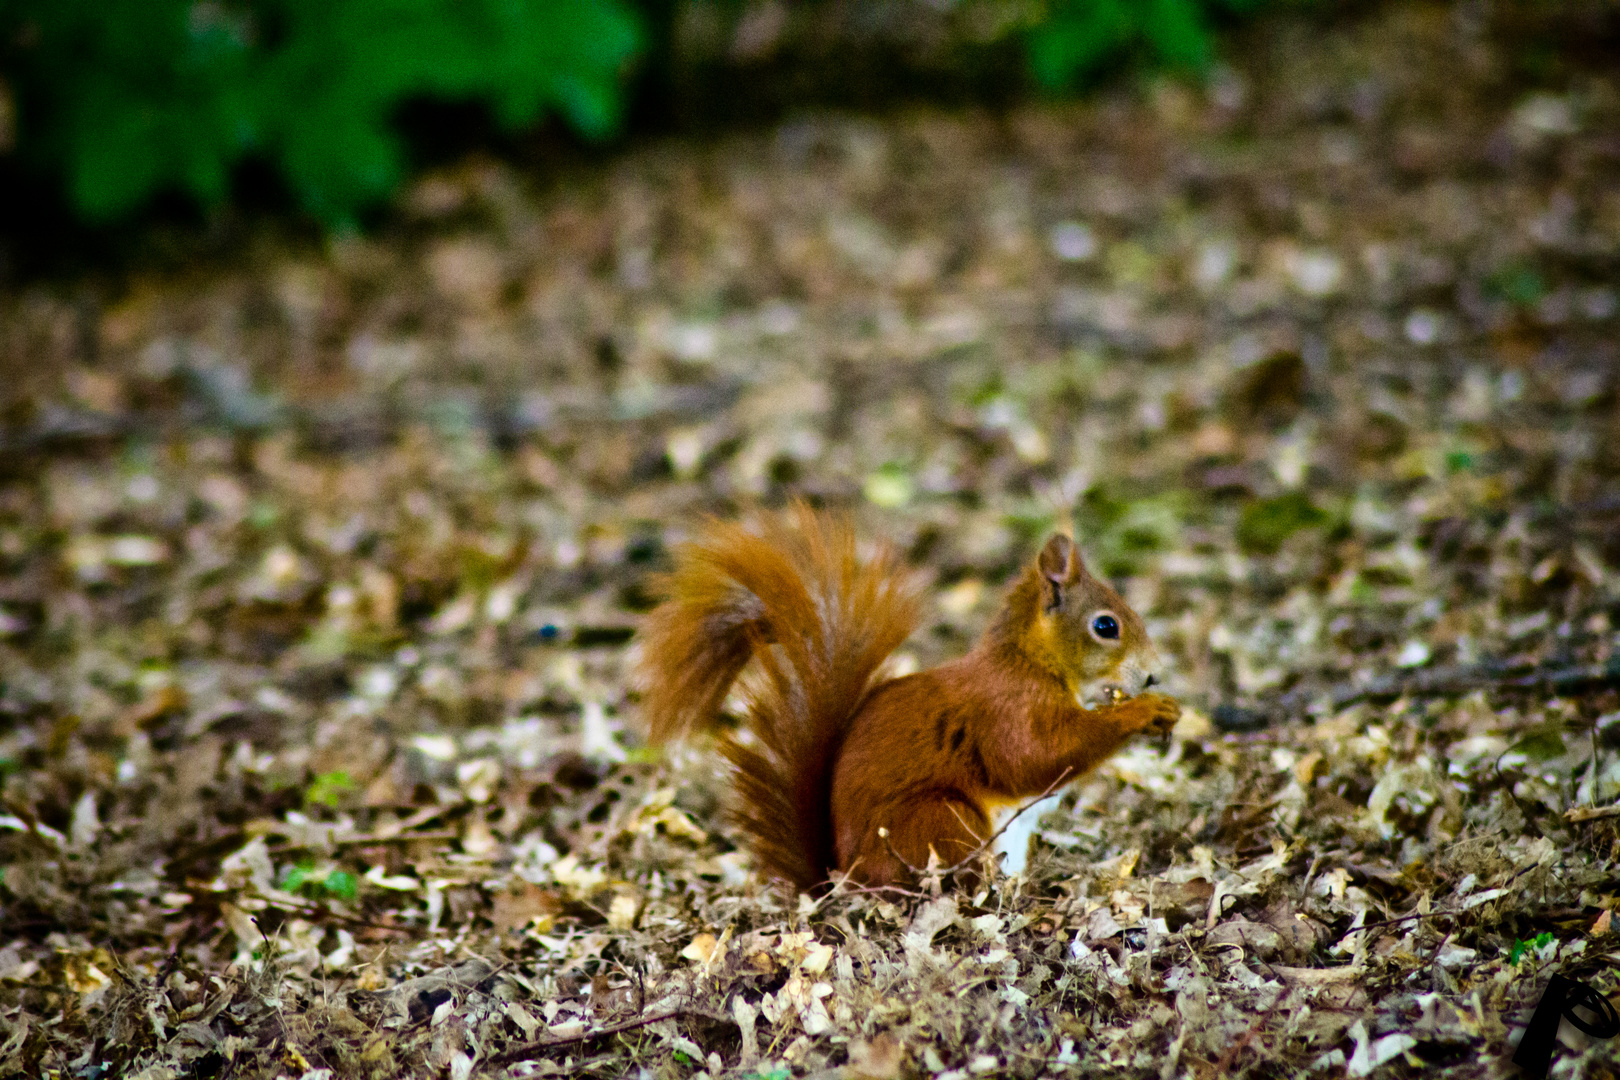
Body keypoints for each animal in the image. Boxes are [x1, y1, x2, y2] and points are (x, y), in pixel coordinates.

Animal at [631, 501, 1179, 893]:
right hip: (941, 819)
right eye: (1105, 626)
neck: (1031, 660)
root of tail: (843, 876)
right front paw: (1142, 712)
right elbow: (1036, 757)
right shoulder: (1006, 708)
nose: (1154, 675)